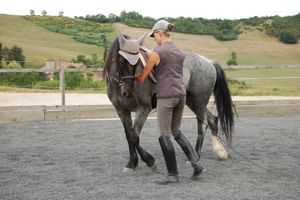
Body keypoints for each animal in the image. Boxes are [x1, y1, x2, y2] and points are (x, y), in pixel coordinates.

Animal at [103, 32, 234, 172]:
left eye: (137, 62)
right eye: (122, 61)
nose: (127, 91)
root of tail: (209, 62)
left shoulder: (143, 109)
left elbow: (134, 136)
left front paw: (149, 161)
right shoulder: (122, 111)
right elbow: (129, 135)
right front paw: (132, 163)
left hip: (199, 101)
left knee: (203, 124)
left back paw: (197, 156)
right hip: (192, 101)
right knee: (212, 119)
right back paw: (220, 152)